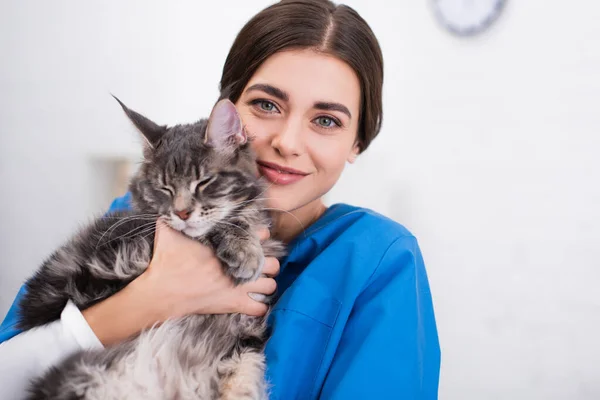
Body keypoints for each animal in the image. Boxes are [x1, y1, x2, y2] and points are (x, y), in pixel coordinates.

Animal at [16, 97, 284, 400]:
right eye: (164, 188)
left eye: (204, 182)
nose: (182, 213)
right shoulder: (125, 248)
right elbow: (216, 226)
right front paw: (245, 250)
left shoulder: (246, 332)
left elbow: (245, 373)